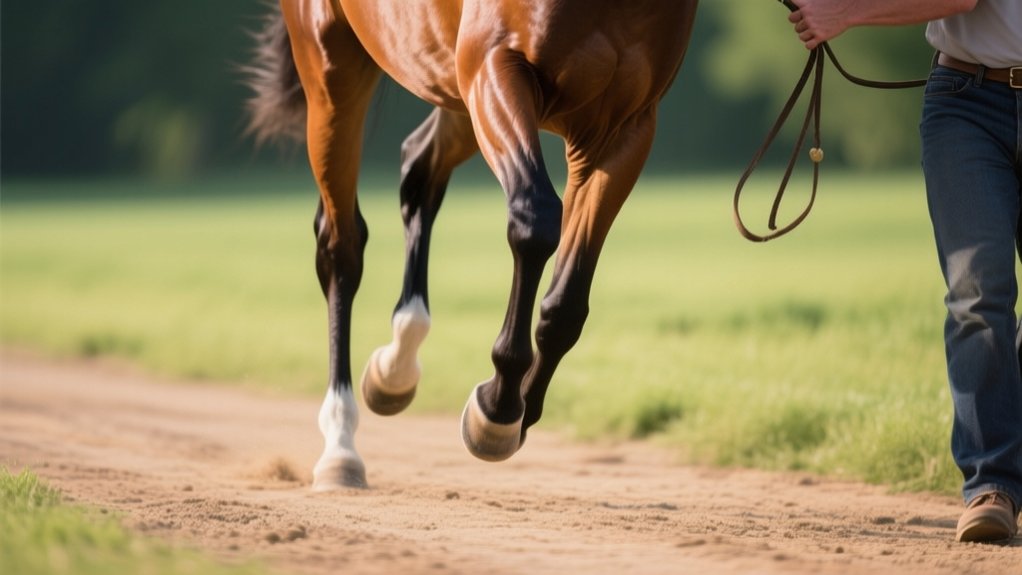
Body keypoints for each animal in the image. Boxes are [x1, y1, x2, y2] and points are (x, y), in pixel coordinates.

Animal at [245, 0, 700, 490]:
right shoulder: (494, 69)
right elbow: (535, 219)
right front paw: (498, 408)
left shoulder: (623, 130)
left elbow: (567, 303)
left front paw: (521, 410)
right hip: (334, 68)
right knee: (341, 246)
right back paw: (340, 447)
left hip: (450, 83)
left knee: (419, 168)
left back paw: (395, 368)